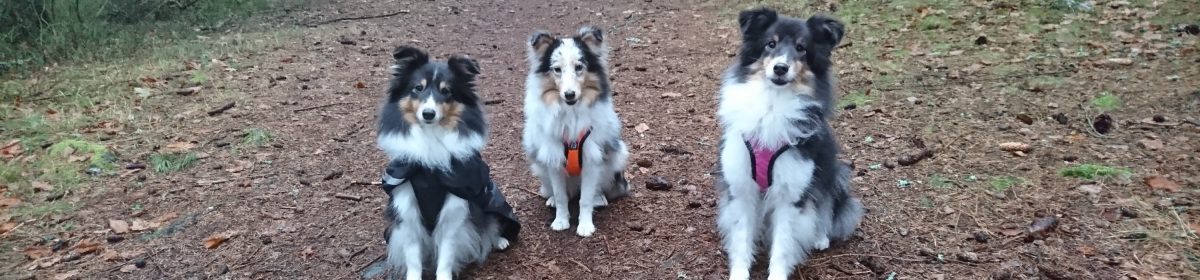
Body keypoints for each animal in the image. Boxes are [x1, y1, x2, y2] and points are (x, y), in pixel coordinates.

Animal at [525, 26, 638, 237]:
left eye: (579, 67)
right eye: (557, 69)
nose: (569, 95)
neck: (571, 113)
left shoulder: (592, 158)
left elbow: (585, 199)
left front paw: (585, 226)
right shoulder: (553, 159)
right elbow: (561, 196)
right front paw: (561, 221)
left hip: (617, 155)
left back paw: (598, 198)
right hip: (540, 165)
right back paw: (552, 200)